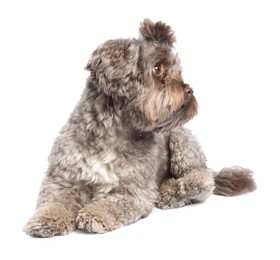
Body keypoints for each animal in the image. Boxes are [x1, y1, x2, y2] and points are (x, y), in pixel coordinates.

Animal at [24, 18, 256, 238]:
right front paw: (46, 220)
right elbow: (54, 201)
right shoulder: (62, 180)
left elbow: (114, 203)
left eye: (177, 70)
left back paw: (173, 191)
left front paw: (94, 214)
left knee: (202, 178)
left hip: (182, 139)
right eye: (157, 68)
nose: (189, 91)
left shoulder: (133, 191)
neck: (113, 133)